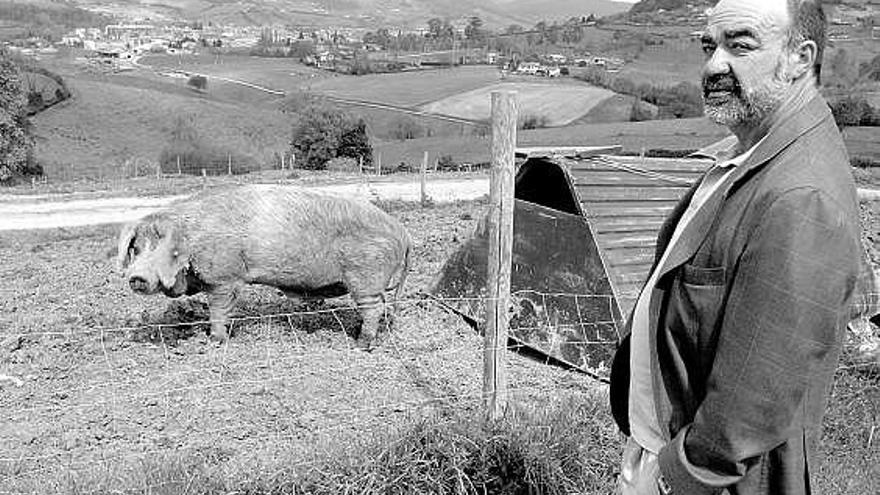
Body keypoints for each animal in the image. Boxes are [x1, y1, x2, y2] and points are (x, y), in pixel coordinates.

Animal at [116, 184, 412, 350]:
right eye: (136, 249)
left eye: (163, 249)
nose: (136, 277)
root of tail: (402, 232)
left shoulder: (225, 278)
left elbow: (218, 310)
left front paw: (213, 342)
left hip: (366, 276)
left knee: (374, 307)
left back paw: (362, 344)